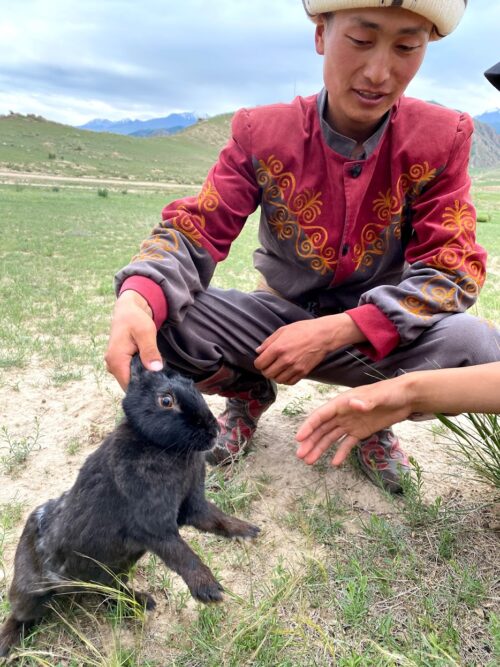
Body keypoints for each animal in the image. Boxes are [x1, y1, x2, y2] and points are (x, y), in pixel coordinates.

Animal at [0, 358, 258, 660]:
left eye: (193, 385)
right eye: (166, 400)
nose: (214, 430)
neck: (160, 446)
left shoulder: (194, 507)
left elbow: (217, 520)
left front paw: (248, 531)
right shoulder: (155, 528)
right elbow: (183, 555)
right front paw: (209, 591)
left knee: (106, 591)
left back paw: (141, 602)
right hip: (33, 592)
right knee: (22, 615)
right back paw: (7, 643)